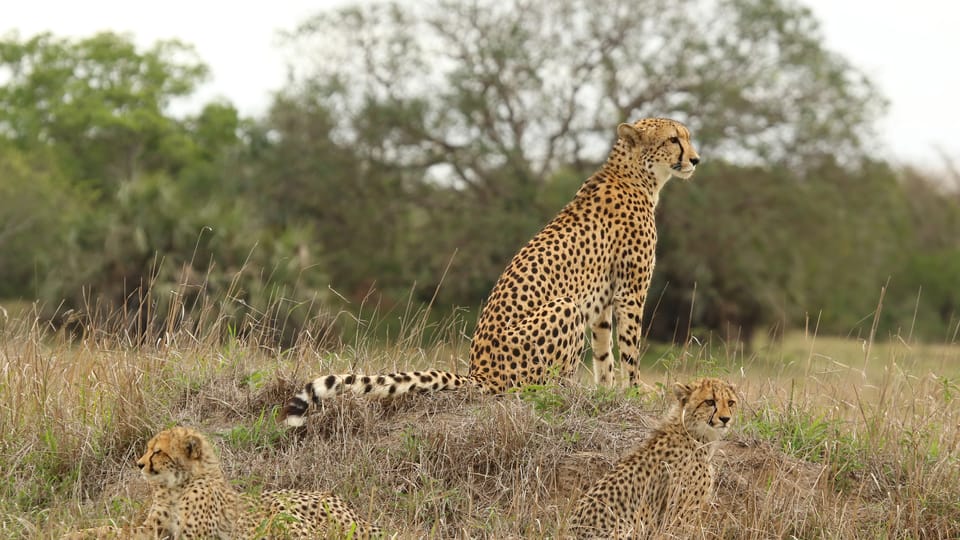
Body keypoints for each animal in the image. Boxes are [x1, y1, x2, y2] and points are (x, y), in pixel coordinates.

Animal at [61, 426, 381, 539]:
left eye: (158, 452)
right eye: (148, 449)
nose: (139, 464)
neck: (178, 485)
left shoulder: (194, 537)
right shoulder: (153, 529)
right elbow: (111, 529)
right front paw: (76, 533)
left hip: (281, 511)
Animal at [281, 118, 701, 427]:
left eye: (687, 136)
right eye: (674, 139)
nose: (696, 160)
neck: (635, 175)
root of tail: (480, 372)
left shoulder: (601, 303)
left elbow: (604, 354)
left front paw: (609, 392)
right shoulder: (629, 292)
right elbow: (629, 348)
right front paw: (636, 391)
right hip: (564, 307)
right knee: (532, 389)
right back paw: (565, 395)